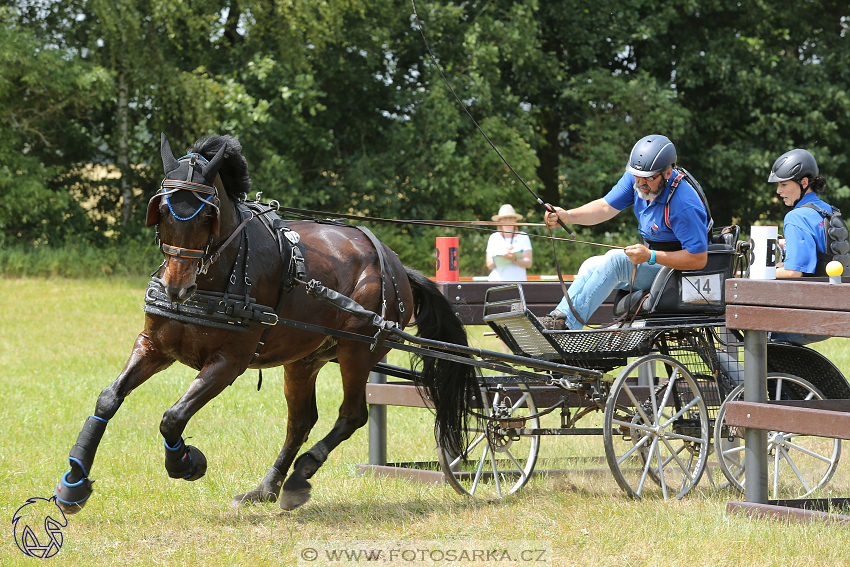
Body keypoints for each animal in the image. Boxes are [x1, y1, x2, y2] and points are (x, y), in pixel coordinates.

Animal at [55, 134, 474, 516]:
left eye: (207, 216)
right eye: (162, 211)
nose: (176, 288)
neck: (216, 276)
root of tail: (398, 265)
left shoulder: (228, 362)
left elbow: (173, 417)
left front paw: (186, 463)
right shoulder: (154, 346)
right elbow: (109, 398)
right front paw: (74, 481)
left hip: (356, 350)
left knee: (351, 415)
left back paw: (300, 476)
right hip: (305, 359)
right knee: (301, 421)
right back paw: (267, 487)